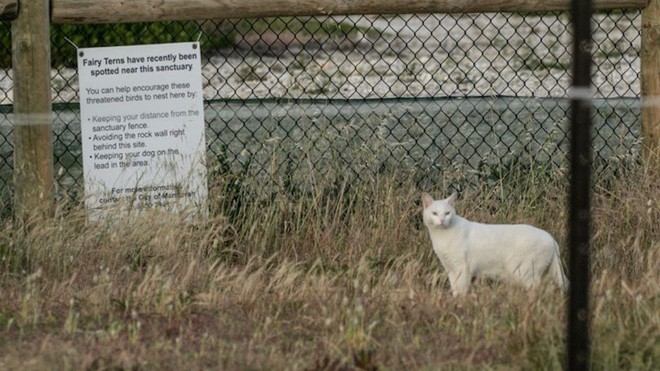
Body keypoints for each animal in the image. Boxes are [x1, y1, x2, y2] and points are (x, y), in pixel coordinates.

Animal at [422, 193, 568, 294]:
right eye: (434, 213)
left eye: (447, 213)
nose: (442, 220)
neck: (442, 236)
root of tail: (551, 238)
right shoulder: (451, 270)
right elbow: (455, 290)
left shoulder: (462, 268)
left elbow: (462, 290)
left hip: (524, 273)